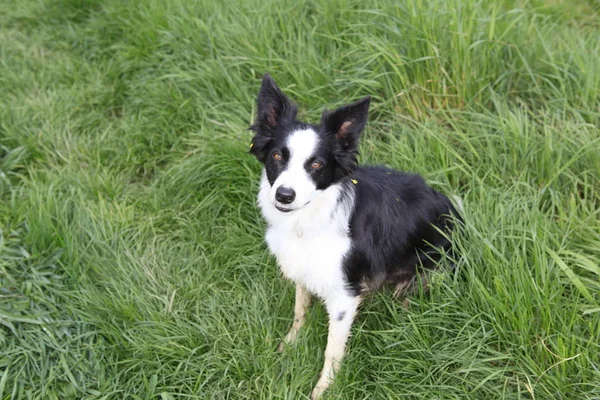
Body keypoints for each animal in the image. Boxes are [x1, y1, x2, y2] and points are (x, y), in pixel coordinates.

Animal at [247, 73, 460, 398]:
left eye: (317, 164)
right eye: (277, 156)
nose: (284, 195)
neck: (309, 217)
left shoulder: (343, 299)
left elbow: (332, 350)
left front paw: (323, 389)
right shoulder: (303, 270)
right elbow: (300, 309)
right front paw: (291, 343)